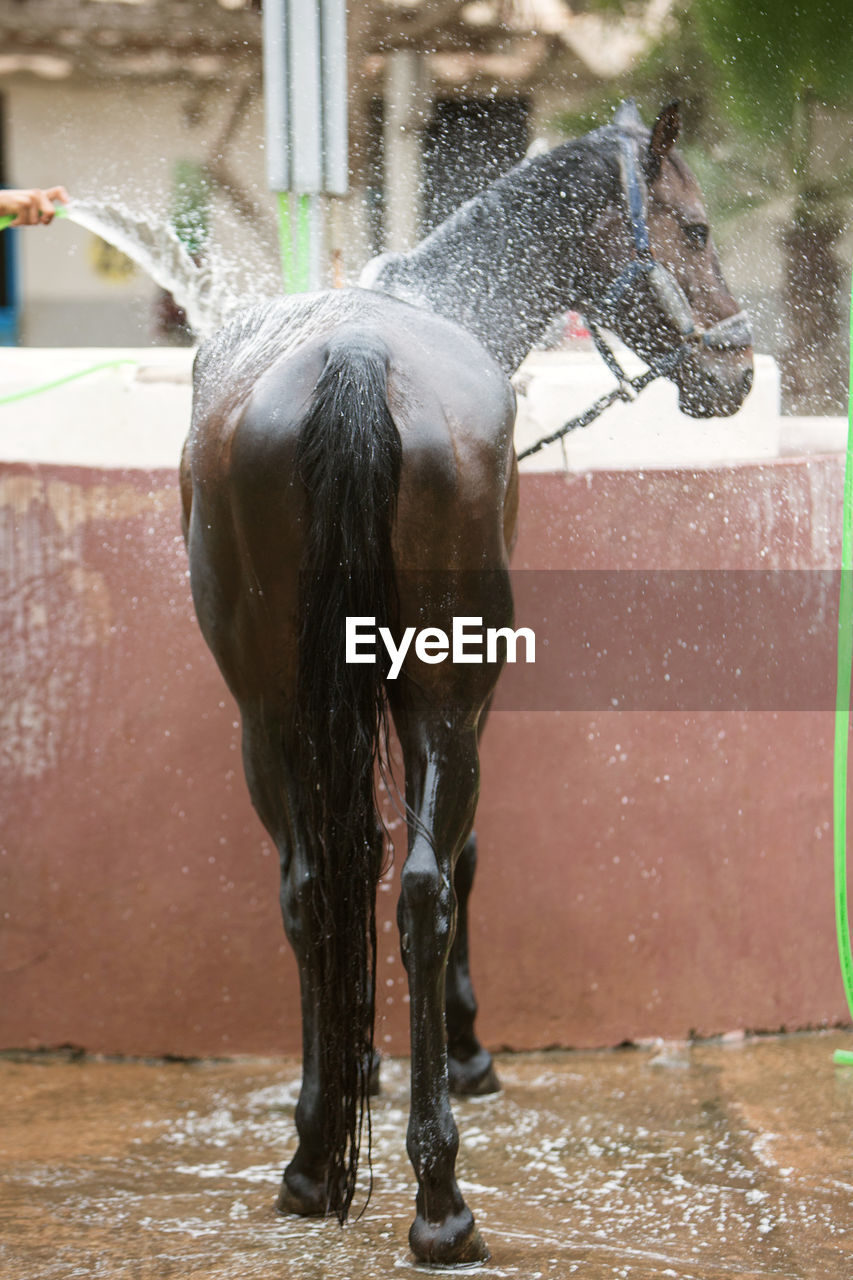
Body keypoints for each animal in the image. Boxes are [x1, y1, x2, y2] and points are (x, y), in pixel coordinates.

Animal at [180, 102, 753, 1269]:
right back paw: (439, 1199)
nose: (742, 366)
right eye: (696, 227)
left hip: (268, 712)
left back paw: (315, 1162)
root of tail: (356, 355)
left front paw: (355, 1064)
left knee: (312, 886)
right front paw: (462, 1051)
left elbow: (347, 859)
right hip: (444, 695)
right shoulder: (466, 706)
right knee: (423, 892)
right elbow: (464, 856)